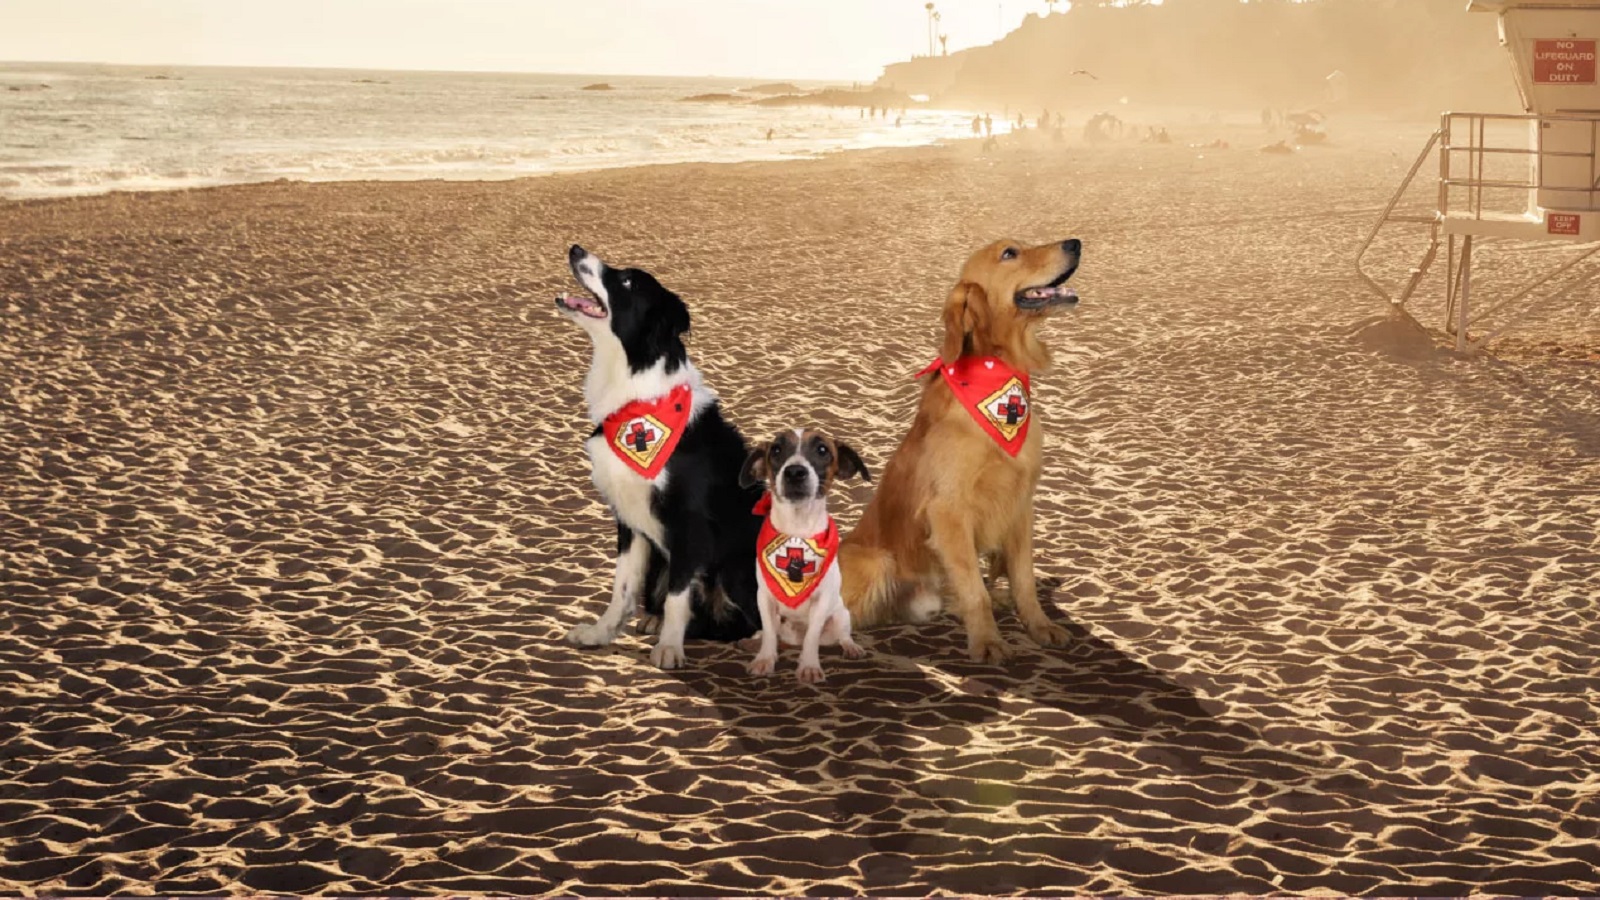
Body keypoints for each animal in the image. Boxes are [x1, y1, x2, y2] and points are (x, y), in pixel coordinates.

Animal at [556, 245, 761, 666]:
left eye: (627, 281)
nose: (575, 248)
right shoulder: (629, 519)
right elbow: (621, 587)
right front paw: (601, 633)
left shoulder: (689, 523)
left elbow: (679, 595)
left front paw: (669, 647)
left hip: (736, 564)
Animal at [739, 425, 876, 679]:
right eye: (776, 450)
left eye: (822, 450)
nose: (794, 472)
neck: (797, 530)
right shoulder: (764, 598)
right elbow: (769, 634)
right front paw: (764, 659)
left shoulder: (822, 602)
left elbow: (812, 637)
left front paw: (809, 666)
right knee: (771, 633)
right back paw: (755, 641)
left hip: (840, 615)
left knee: (842, 636)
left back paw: (851, 648)